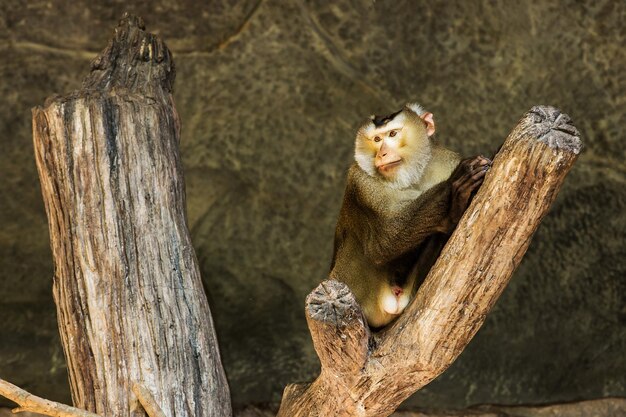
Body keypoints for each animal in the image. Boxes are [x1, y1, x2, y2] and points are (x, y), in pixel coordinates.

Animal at [330, 102, 490, 326]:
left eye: (393, 134)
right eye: (377, 139)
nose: (382, 154)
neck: (413, 178)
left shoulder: (447, 160)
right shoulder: (360, 181)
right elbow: (387, 239)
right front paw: (456, 182)